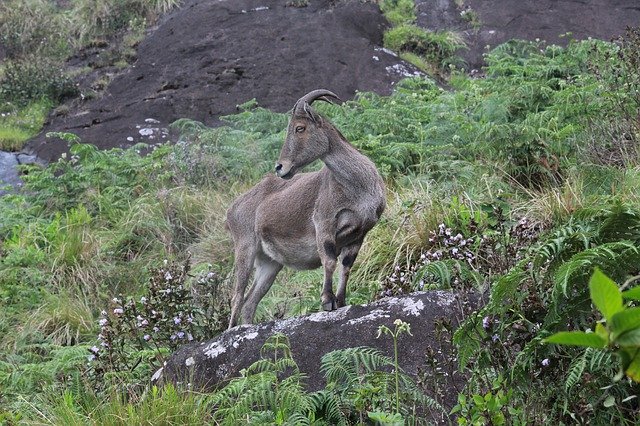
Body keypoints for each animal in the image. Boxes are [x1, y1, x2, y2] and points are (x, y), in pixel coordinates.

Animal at [225, 90, 384, 328]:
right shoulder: (324, 223)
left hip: (270, 264)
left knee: (250, 301)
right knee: (237, 296)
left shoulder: (360, 233)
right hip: (245, 247)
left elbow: (346, 266)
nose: (280, 167)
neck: (357, 186)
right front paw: (327, 301)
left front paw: (342, 301)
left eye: (300, 128)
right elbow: (329, 261)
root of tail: (232, 209)